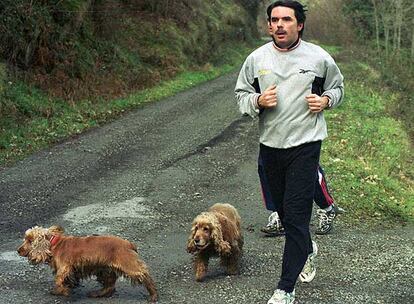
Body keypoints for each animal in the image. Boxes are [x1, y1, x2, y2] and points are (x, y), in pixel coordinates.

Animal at [17, 224, 157, 302]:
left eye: (29, 241)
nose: (18, 250)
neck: (54, 243)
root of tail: (129, 244)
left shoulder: (65, 267)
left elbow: (58, 280)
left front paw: (62, 291)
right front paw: (66, 288)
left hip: (128, 265)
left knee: (144, 275)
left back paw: (153, 295)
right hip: (104, 270)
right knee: (110, 285)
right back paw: (97, 293)